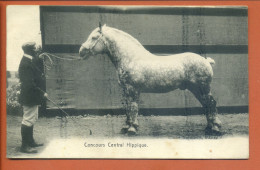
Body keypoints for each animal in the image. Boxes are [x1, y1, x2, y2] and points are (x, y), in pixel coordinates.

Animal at [79, 24, 221, 135]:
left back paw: (215, 128)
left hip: (202, 88)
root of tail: (206, 60)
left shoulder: (133, 89)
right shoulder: (126, 90)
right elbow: (128, 107)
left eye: (94, 37)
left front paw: (132, 129)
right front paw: (126, 127)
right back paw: (209, 127)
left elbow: (133, 107)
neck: (130, 58)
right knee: (206, 105)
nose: (81, 51)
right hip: (196, 89)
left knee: (211, 103)